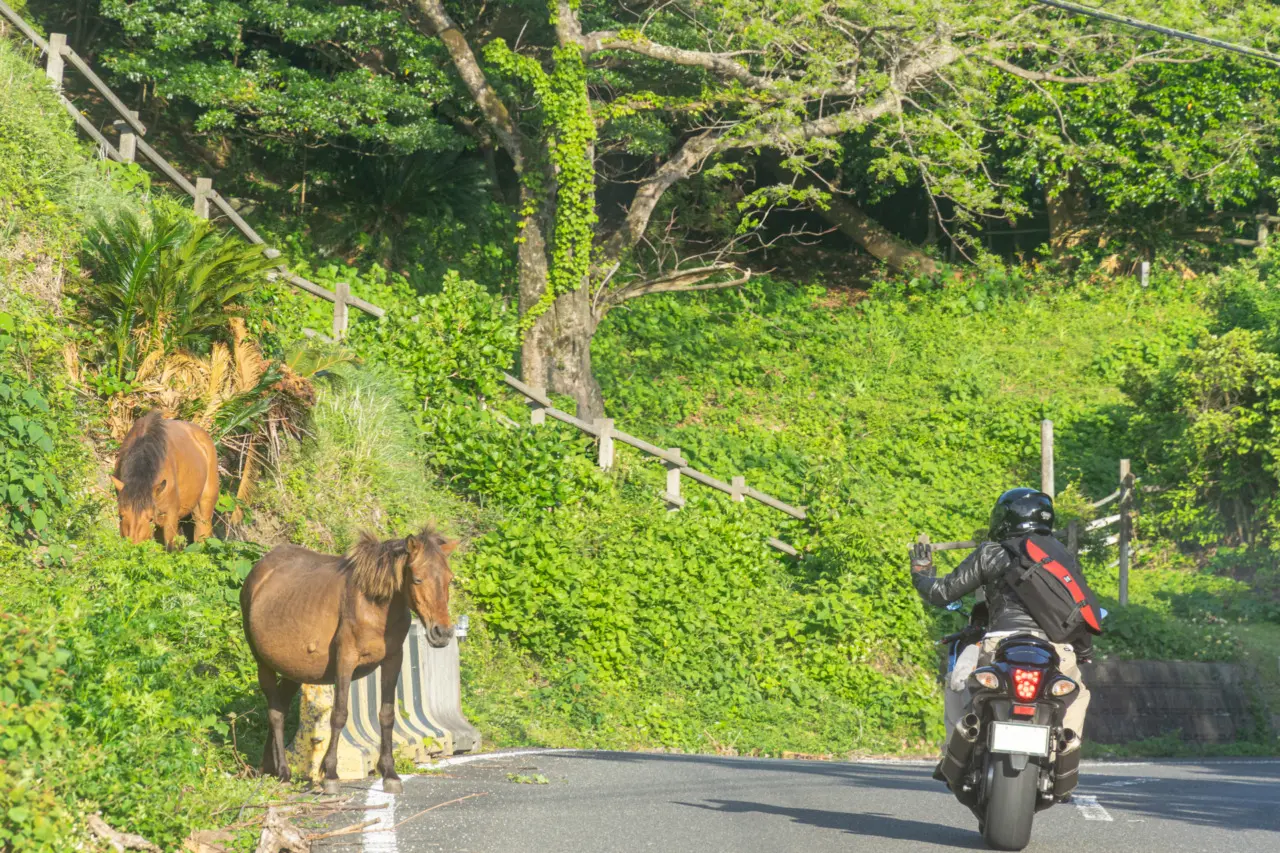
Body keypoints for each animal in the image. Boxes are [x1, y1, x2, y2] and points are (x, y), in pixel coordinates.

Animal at [241, 525, 458, 788]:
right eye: (417, 578)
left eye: (449, 579)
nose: (442, 633)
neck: (374, 605)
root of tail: (258, 571)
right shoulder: (345, 660)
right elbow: (339, 714)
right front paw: (331, 774)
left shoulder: (393, 660)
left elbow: (387, 715)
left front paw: (389, 772)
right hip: (263, 664)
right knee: (275, 714)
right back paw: (283, 772)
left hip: (294, 670)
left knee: (279, 707)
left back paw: (268, 767)